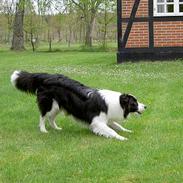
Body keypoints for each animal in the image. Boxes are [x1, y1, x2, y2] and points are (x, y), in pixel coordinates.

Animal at [11, 71, 146, 141]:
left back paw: (56, 128)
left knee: (51, 118)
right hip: (49, 104)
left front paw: (127, 131)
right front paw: (121, 138)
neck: (117, 101)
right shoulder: (97, 121)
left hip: (58, 106)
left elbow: (118, 126)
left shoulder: (106, 118)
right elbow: (111, 131)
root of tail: (45, 76)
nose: (145, 106)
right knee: (43, 116)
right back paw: (43, 130)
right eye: (134, 103)